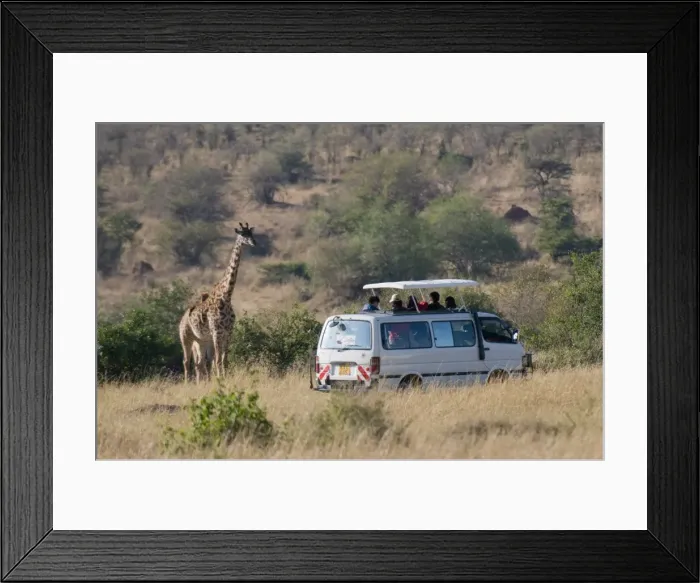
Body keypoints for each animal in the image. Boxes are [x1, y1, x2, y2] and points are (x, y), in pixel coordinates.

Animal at [179, 222, 256, 383]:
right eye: (242, 234)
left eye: (252, 234)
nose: (254, 243)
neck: (226, 296)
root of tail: (182, 318)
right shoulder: (216, 332)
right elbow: (218, 360)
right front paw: (220, 379)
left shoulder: (228, 331)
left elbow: (224, 359)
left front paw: (224, 378)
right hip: (186, 338)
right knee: (186, 361)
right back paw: (187, 383)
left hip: (201, 340)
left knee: (199, 362)